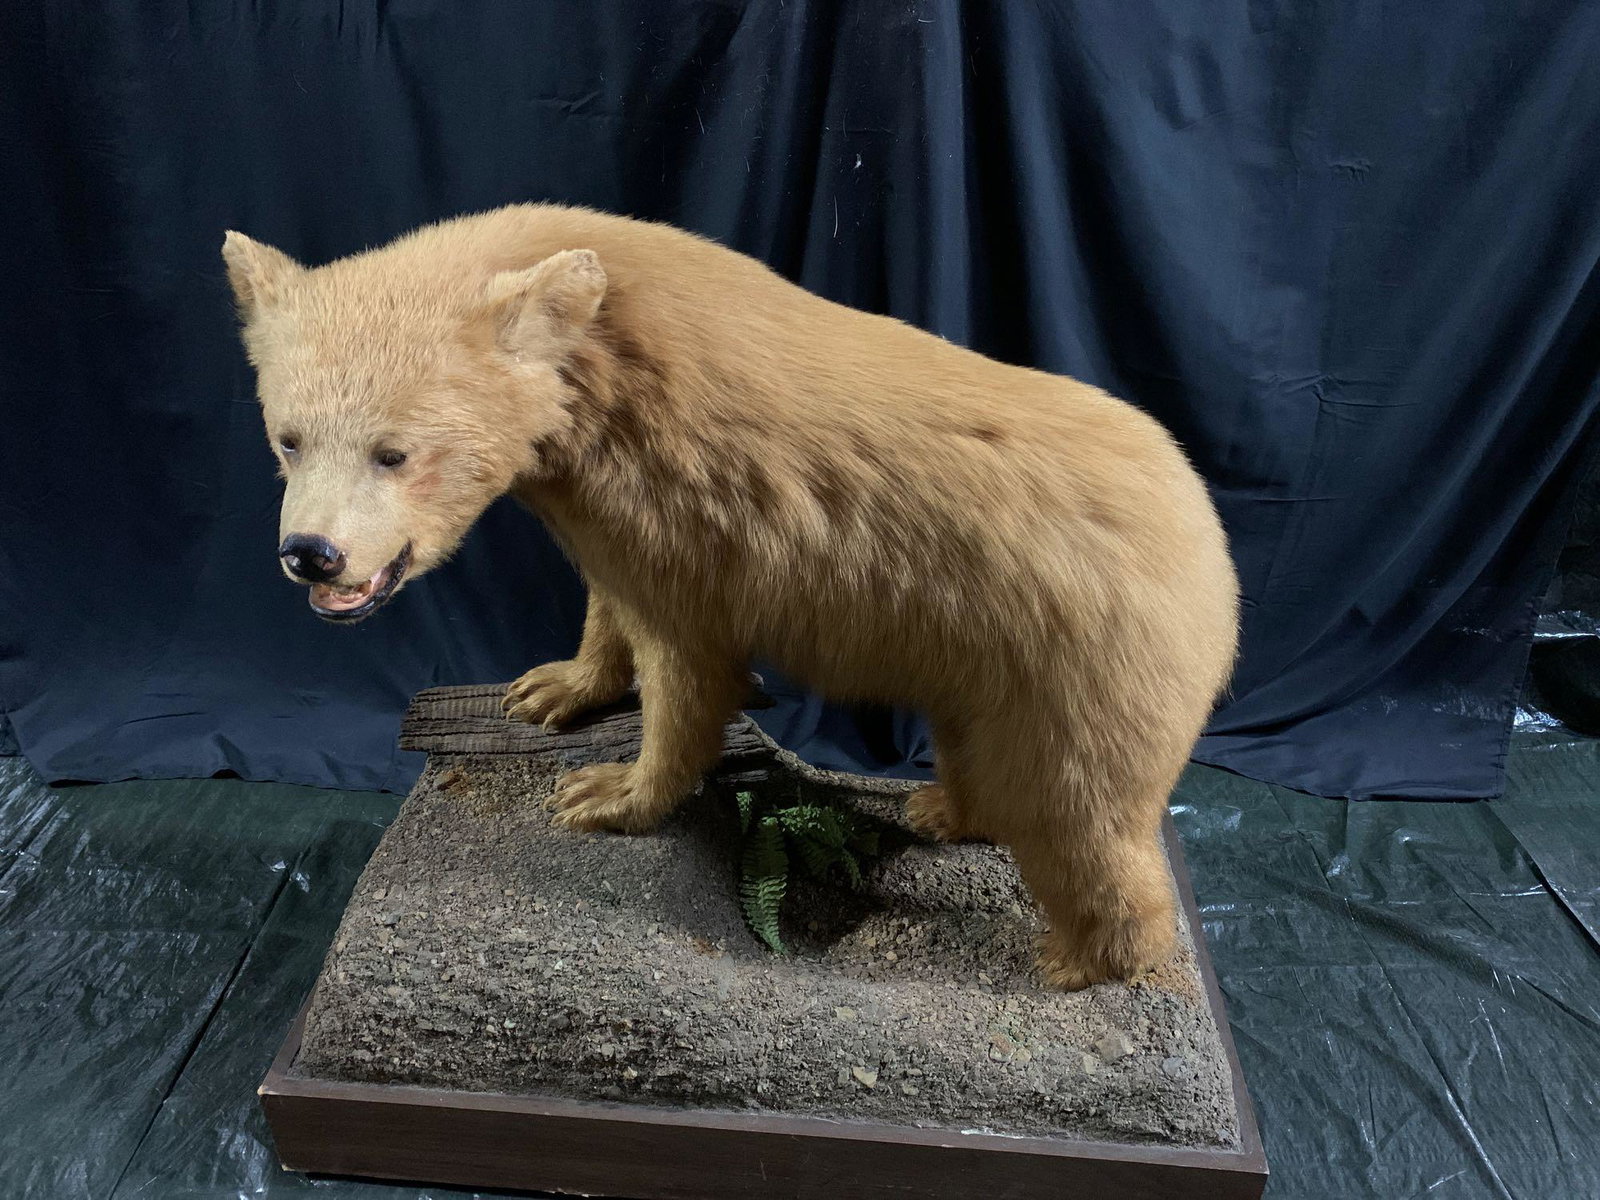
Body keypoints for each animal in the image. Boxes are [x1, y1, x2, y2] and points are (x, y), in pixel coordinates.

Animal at [222, 203, 1239, 989]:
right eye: (287, 436)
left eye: (394, 450)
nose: (311, 556)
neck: (611, 358)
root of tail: (1213, 554)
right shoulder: (601, 503)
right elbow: (609, 599)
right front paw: (552, 688)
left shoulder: (689, 517)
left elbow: (690, 664)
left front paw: (608, 793)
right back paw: (940, 810)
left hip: (1082, 661)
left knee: (1079, 815)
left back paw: (1080, 961)